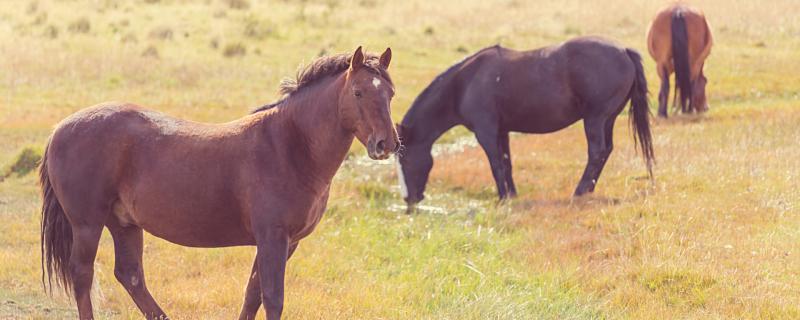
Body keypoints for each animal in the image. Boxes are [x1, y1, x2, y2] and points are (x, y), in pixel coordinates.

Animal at [40, 46, 396, 318]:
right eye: (358, 92)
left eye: (390, 93)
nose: (386, 144)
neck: (289, 145)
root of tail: (60, 129)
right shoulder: (273, 238)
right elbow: (272, 298)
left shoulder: (286, 242)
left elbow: (253, 295)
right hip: (88, 224)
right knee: (83, 275)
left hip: (124, 223)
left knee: (130, 275)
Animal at [396, 37, 652, 208]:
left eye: (405, 159)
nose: (409, 199)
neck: (464, 85)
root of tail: (624, 51)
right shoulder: (501, 131)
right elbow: (506, 162)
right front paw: (512, 195)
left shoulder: (486, 132)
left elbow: (496, 164)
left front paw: (502, 199)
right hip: (607, 119)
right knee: (605, 151)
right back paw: (588, 190)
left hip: (595, 119)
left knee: (597, 152)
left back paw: (579, 192)